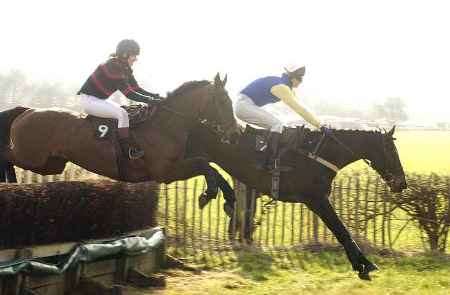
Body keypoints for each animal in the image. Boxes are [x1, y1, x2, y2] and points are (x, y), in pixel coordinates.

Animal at [0, 73, 239, 200]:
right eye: (223, 102)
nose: (235, 133)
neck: (165, 126)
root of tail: (27, 111)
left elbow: (211, 167)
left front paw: (228, 198)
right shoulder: (165, 172)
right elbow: (204, 164)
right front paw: (209, 195)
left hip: (50, 164)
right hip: (31, 156)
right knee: (6, 155)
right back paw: (9, 184)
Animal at [186, 123, 408, 280]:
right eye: (392, 152)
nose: (402, 183)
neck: (320, 155)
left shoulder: (316, 200)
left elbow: (341, 230)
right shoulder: (316, 199)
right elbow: (341, 230)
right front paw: (364, 265)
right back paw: (212, 195)